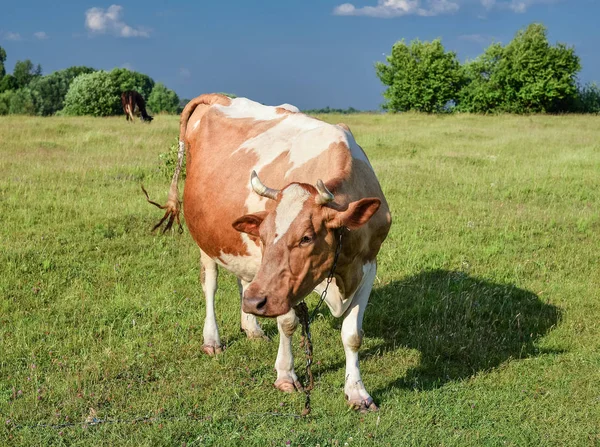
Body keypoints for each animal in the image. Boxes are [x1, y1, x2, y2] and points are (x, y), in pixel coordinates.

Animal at [149, 94, 392, 412]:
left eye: (306, 237)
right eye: (264, 235)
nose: (255, 302)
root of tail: (219, 98)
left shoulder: (367, 265)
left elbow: (352, 335)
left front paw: (357, 393)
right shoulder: (281, 286)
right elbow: (287, 324)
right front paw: (286, 375)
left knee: (244, 280)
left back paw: (251, 327)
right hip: (205, 238)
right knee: (210, 284)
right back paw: (212, 339)